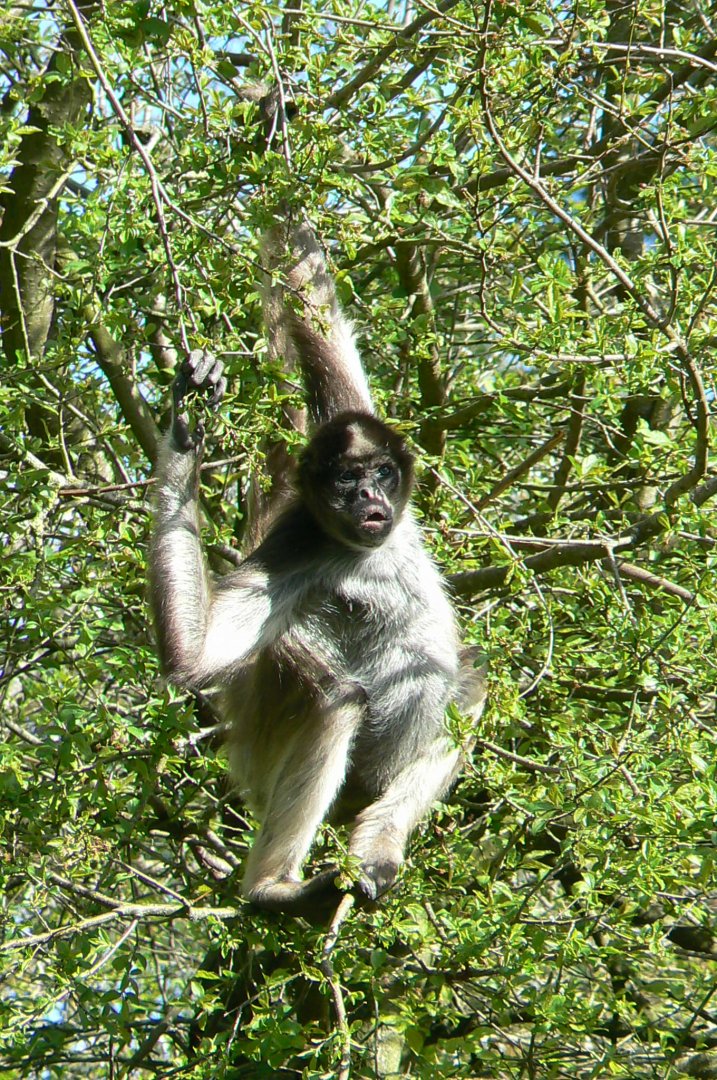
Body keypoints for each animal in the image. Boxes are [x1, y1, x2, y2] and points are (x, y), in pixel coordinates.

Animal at [148, 220, 485, 918]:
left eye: (379, 471)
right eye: (344, 481)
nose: (369, 498)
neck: (363, 547)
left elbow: (314, 309)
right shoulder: (297, 543)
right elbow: (192, 660)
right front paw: (183, 433)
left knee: (470, 675)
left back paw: (375, 848)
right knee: (340, 696)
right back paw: (272, 889)